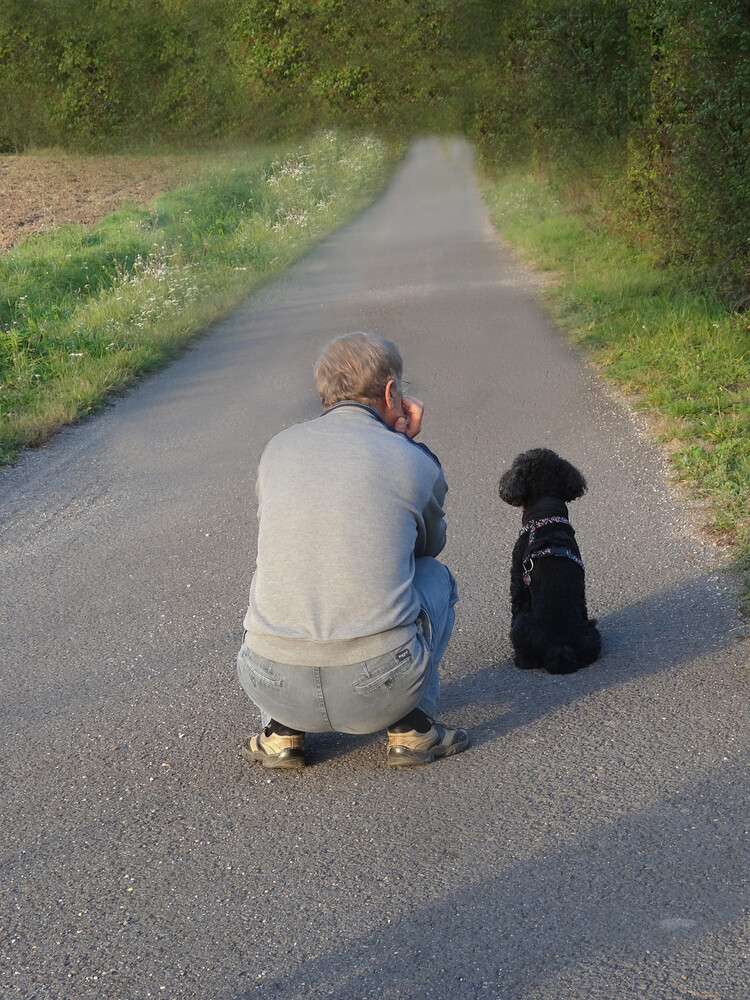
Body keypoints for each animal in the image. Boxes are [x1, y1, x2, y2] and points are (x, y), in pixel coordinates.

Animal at [502, 450, 604, 676]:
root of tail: (559, 645)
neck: (545, 514)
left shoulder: (518, 580)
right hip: (590, 632)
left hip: (521, 629)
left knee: (525, 654)